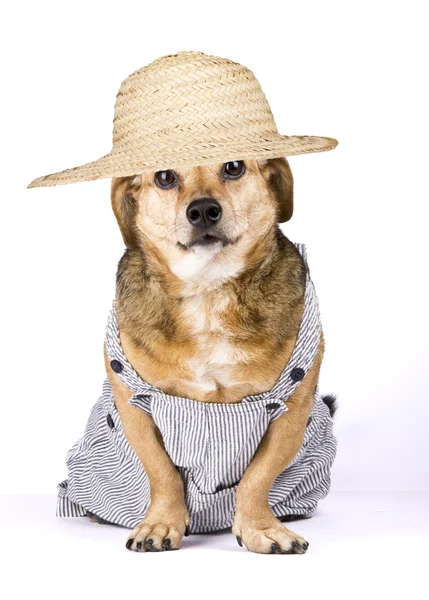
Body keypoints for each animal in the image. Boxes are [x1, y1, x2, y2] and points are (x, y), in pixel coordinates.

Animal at [93, 158, 334, 552]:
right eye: (165, 177)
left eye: (234, 167)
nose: (204, 210)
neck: (208, 291)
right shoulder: (132, 402)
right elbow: (161, 471)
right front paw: (161, 523)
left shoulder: (294, 408)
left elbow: (259, 476)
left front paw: (259, 527)